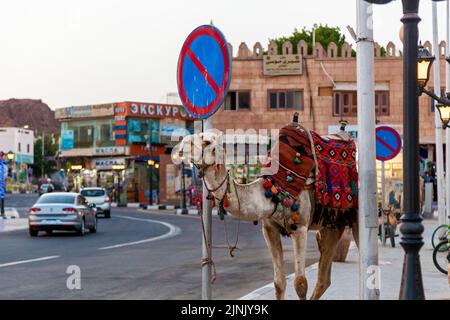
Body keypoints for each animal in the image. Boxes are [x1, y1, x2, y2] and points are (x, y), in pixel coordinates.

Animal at [178, 128, 360, 300]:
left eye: (207, 141)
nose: (180, 146)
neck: (274, 190)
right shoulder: (269, 229)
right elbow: (279, 283)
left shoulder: (300, 228)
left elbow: (300, 283)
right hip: (332, 225)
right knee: (324, 279)